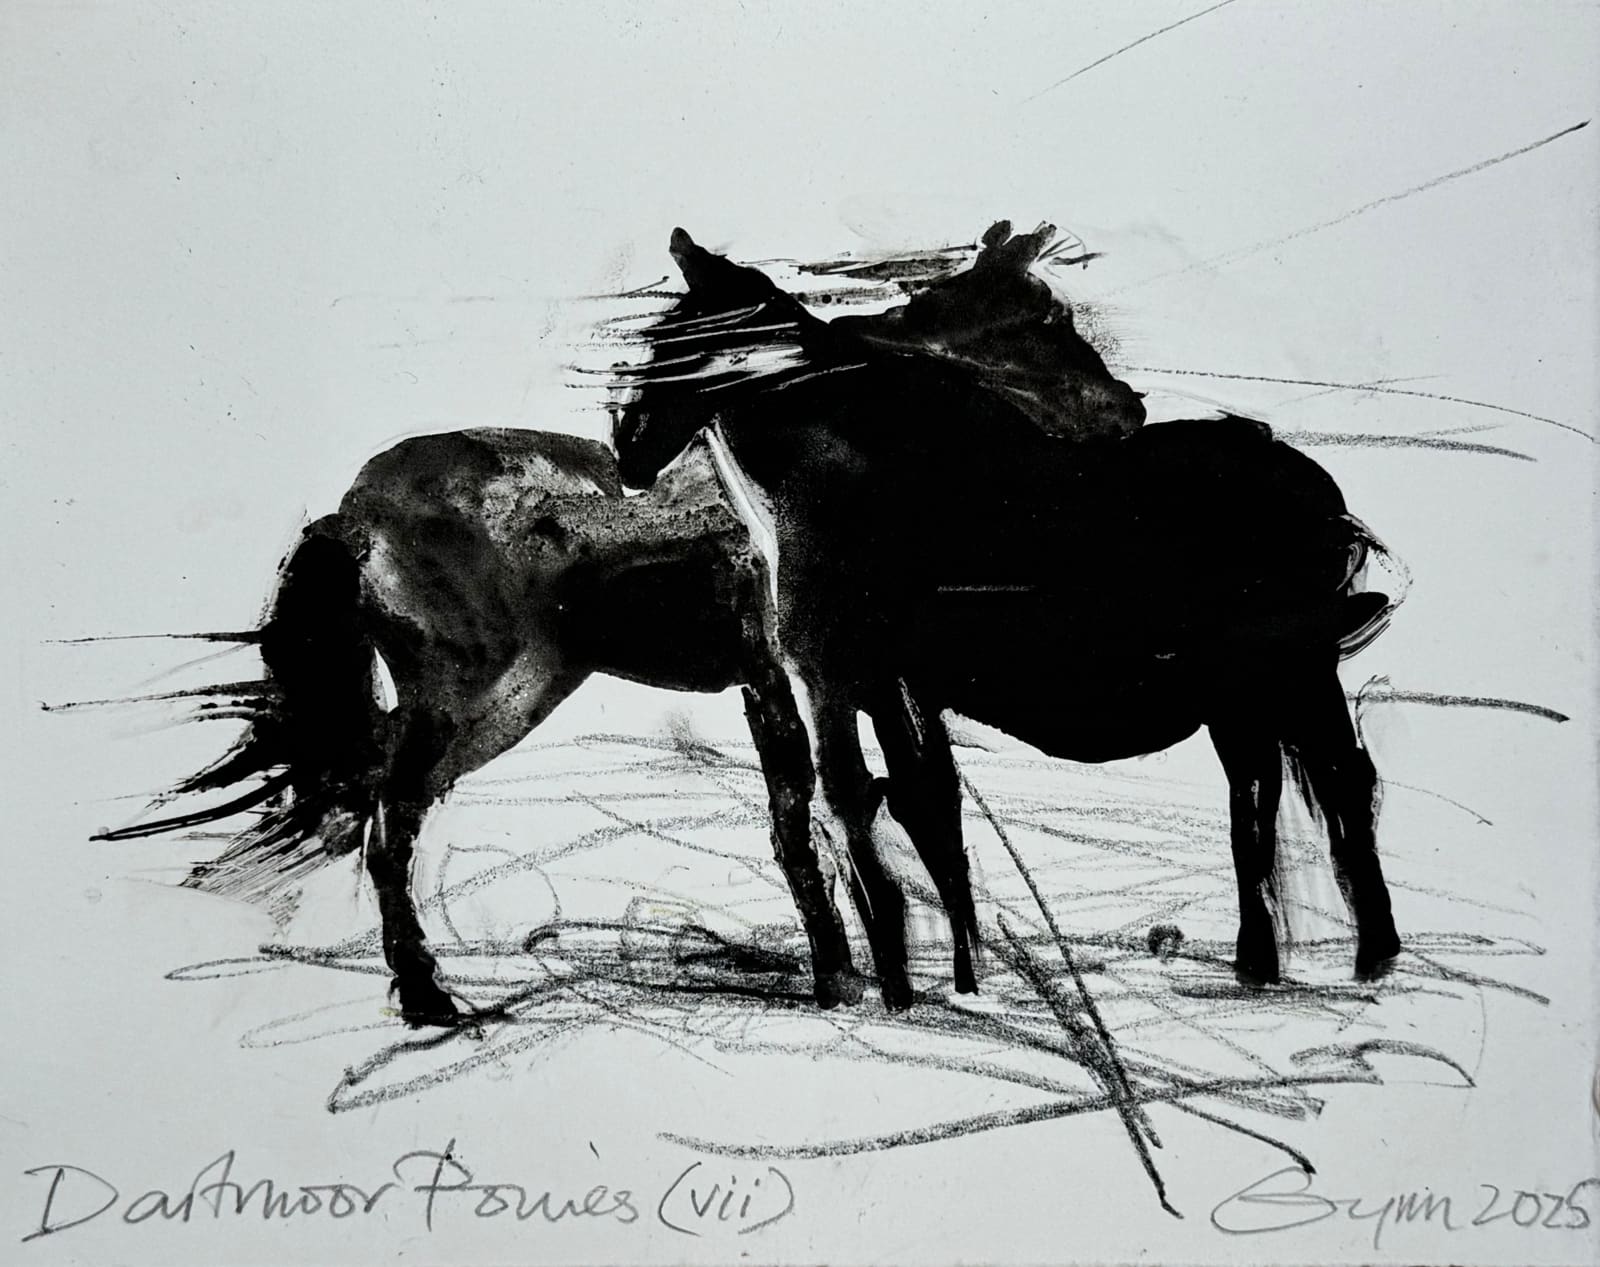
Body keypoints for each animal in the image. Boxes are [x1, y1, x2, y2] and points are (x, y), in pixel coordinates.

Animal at [98, 426, 877, 1025]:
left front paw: (847, 977)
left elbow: (813, 815)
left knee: (366, 792)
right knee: (389, 821)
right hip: (486, 700)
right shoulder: (805, 680)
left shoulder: (776, 683)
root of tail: (352, 518)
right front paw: (854, 982)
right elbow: (840, 816)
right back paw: (428, 1000)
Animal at [611, 226, 1405, 1010]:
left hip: (1291, 674)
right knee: (1264, 800)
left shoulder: (832, 679)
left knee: (1338, 785)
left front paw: (903, 984)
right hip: (1247, 691)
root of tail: (1325, 498)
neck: (835, 475)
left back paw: (1369, 957)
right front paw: (963, 979)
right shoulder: (893, 688)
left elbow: (857, 804)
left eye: (680, 339)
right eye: (658, 336)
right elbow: (928, 811)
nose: (629, 446)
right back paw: (1265, 964)